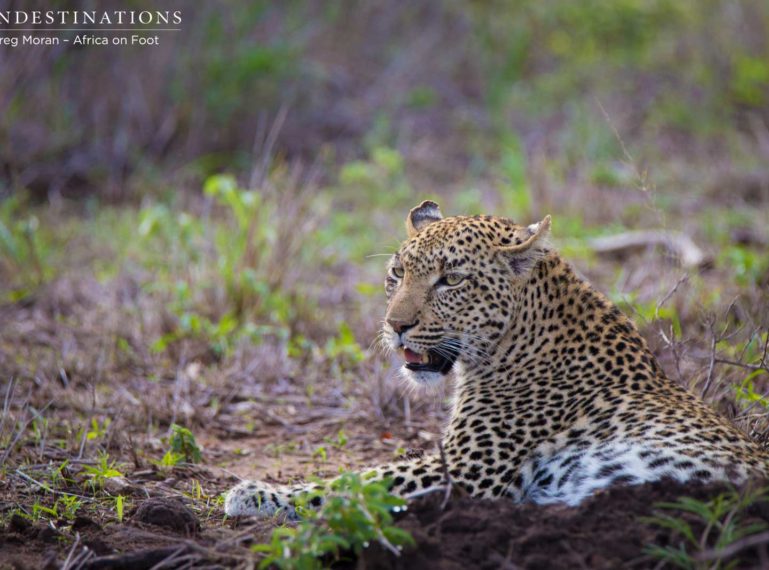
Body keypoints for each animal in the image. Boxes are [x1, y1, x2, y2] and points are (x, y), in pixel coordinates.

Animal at [224, 199, 768, 516]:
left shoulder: (467, 470)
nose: (395, 326)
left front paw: (255, 494)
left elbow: (357, 481)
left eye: (451, 280)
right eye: (397, 273)